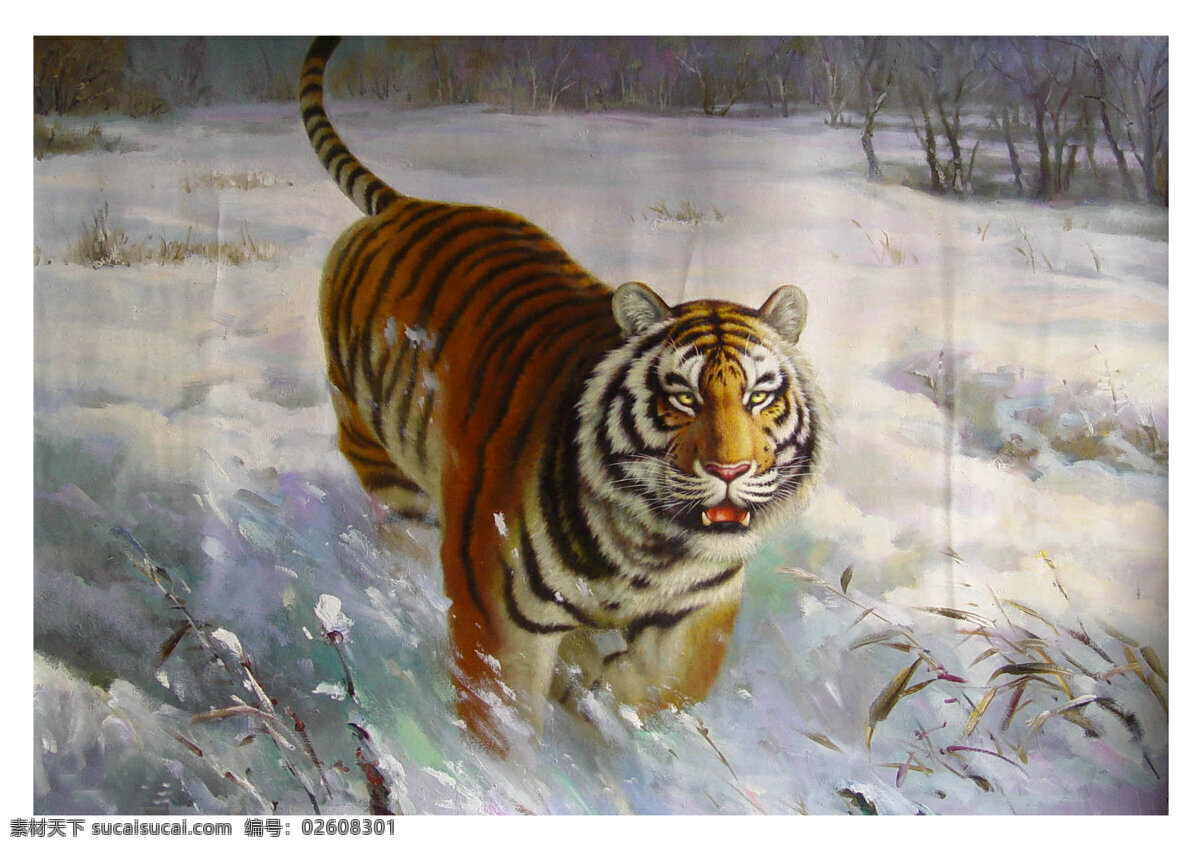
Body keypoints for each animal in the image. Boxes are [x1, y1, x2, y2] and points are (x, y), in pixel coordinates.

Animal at [300, 36, 825, 752]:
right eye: (683, 398)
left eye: (760, 397)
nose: (730, 470)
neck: (652, 551)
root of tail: (408, 205)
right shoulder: (494, 601)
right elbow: (501, 718)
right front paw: (513, 758)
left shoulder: (701, 607)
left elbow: (668, 686)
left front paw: (602, 695)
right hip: (379, 452)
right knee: (399, 533)